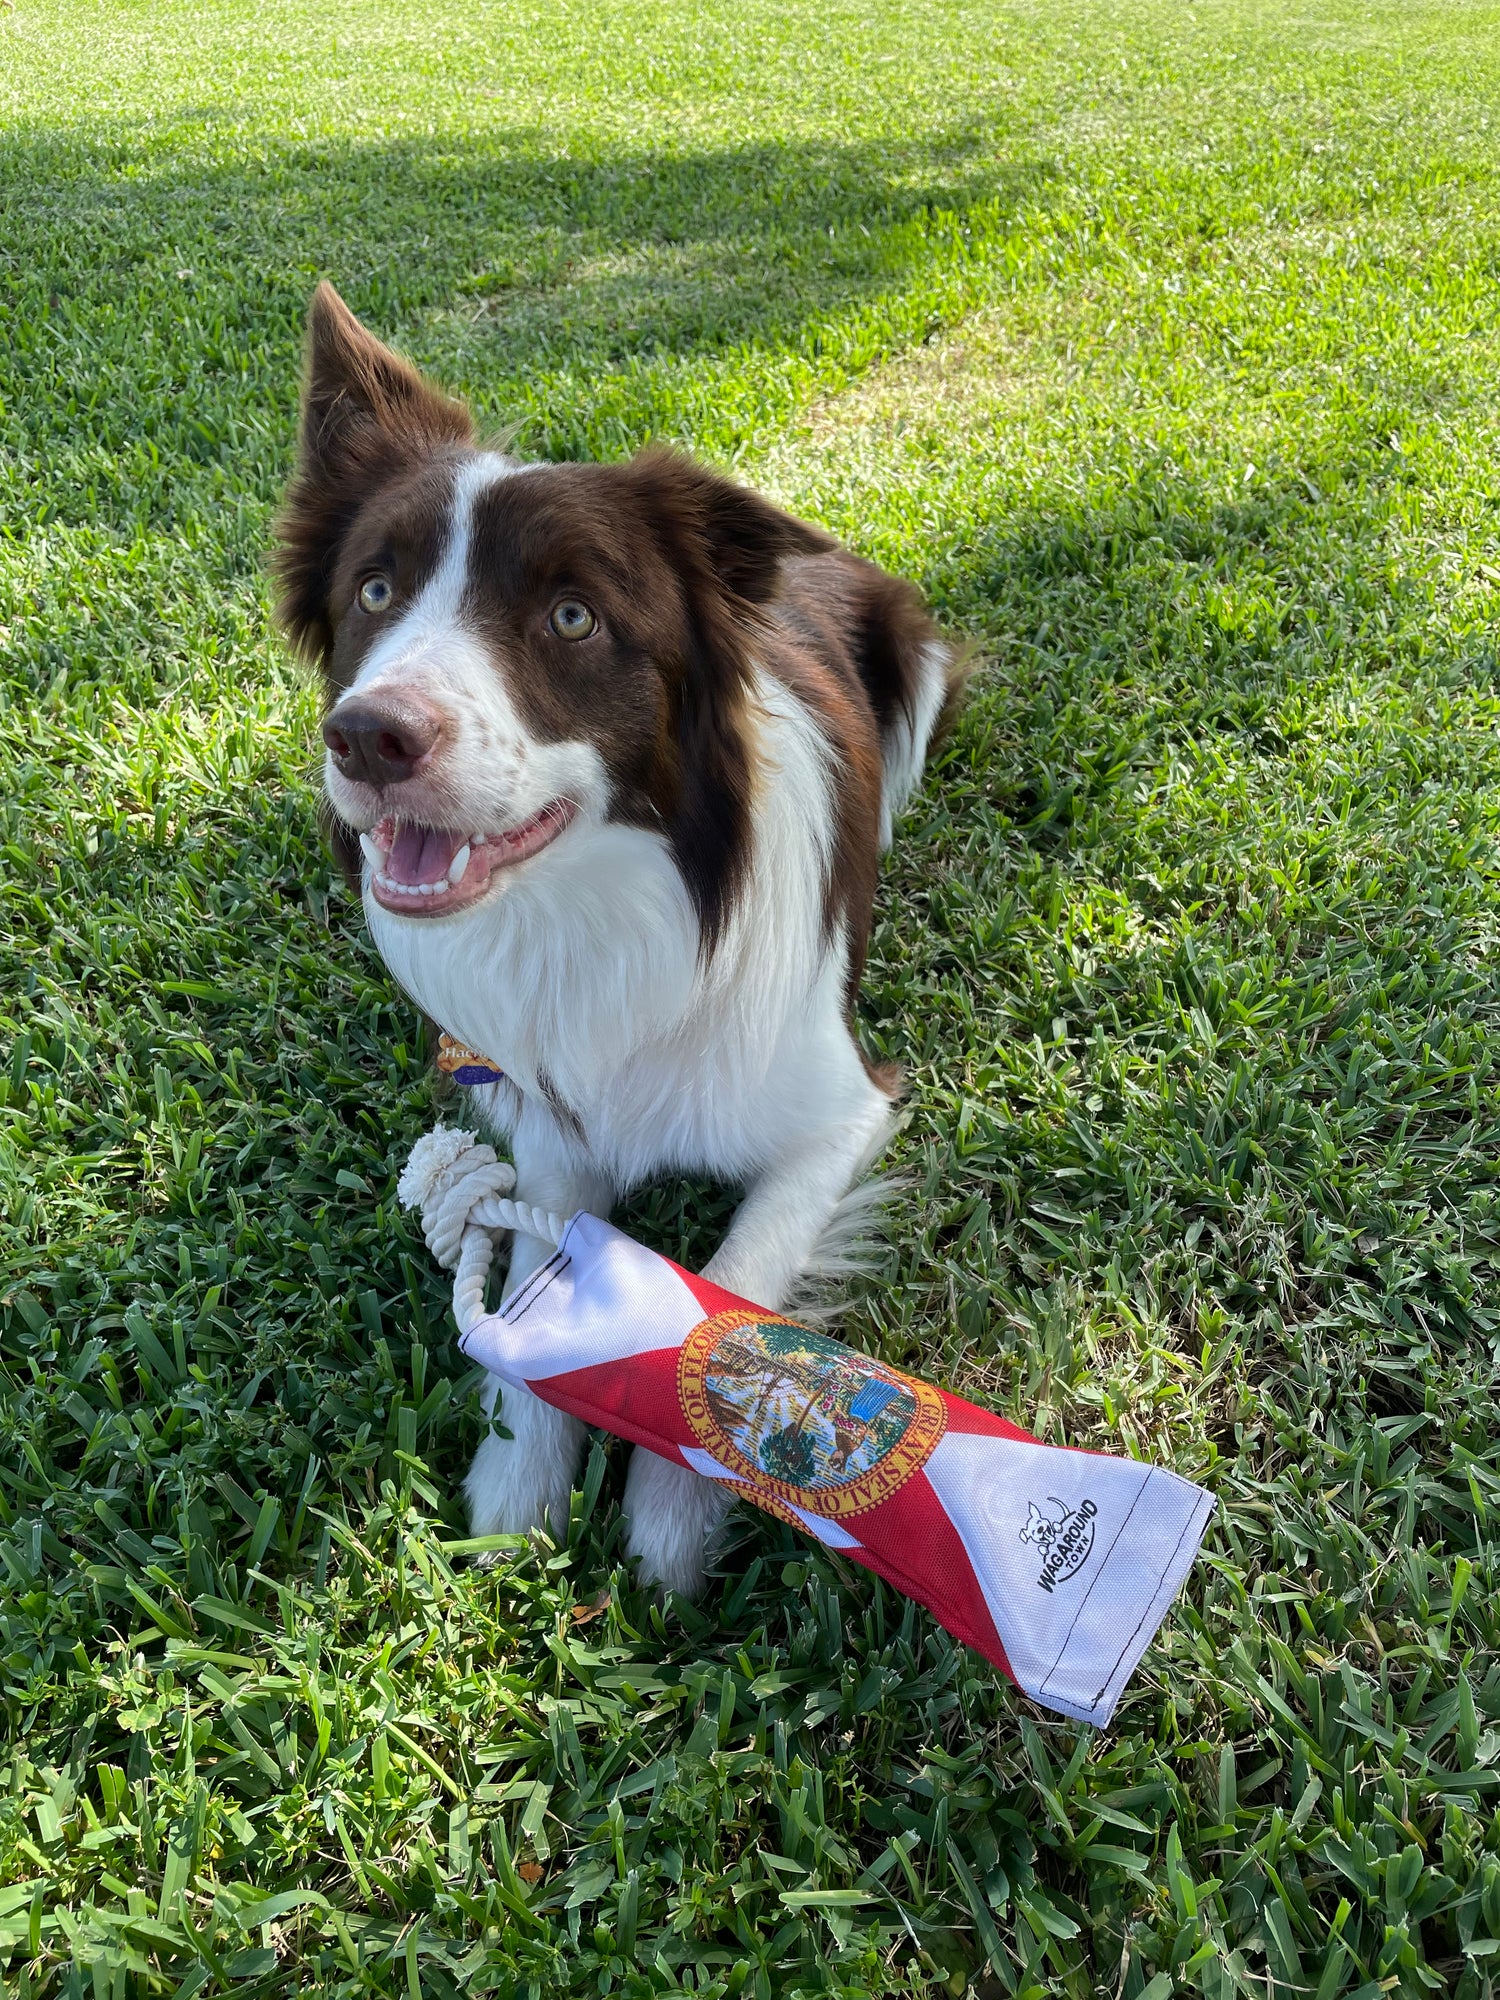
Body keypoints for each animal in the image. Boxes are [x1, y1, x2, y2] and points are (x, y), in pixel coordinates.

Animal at [280, 282, 964, 1592]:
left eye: (572, 616)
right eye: (376, 593)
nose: (368, 736)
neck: (597, 908)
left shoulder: (843, 1109)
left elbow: (739, 1278)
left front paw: (672, 1507)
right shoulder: (551, 1113)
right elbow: (542, 1276)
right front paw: (519, 1480)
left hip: (918, 652)